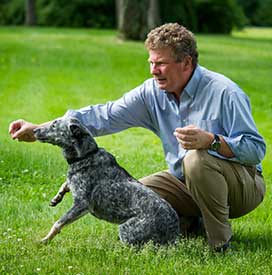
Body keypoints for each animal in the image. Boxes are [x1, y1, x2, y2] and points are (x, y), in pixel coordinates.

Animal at [33, 117, 180, 247]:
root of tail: (175, 235)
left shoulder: (81, 204)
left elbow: (58, 223)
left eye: (54, 125)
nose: (34, 130)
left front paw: (45, 240)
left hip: (126, 229)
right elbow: (66, 183)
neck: (86, 155)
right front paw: (57, 197)